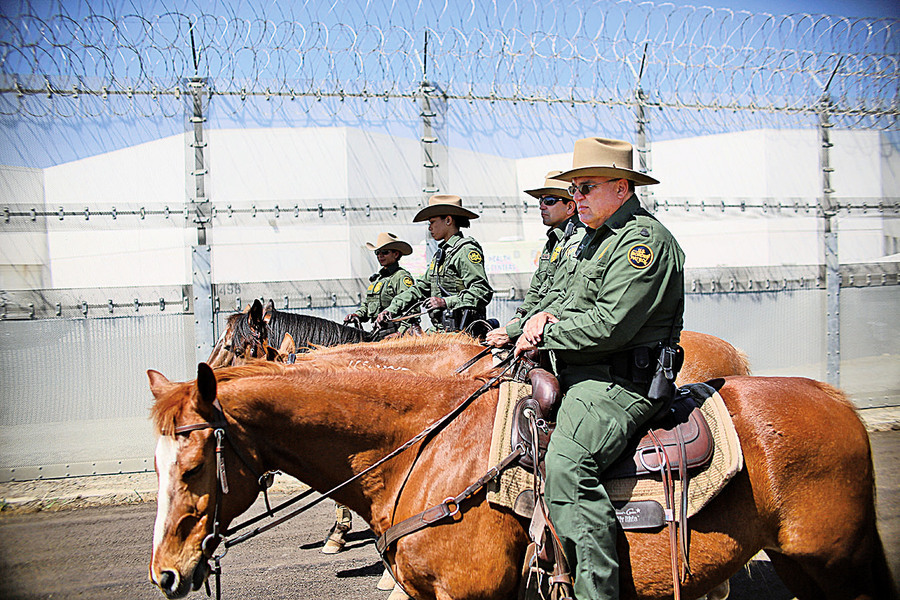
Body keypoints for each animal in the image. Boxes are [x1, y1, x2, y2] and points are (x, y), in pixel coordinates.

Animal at [148, 342, 892, 600]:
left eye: (194, 465)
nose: (165, 574)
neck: (423, 450)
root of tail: (836, 399)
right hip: (803, 565)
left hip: (837, 560)